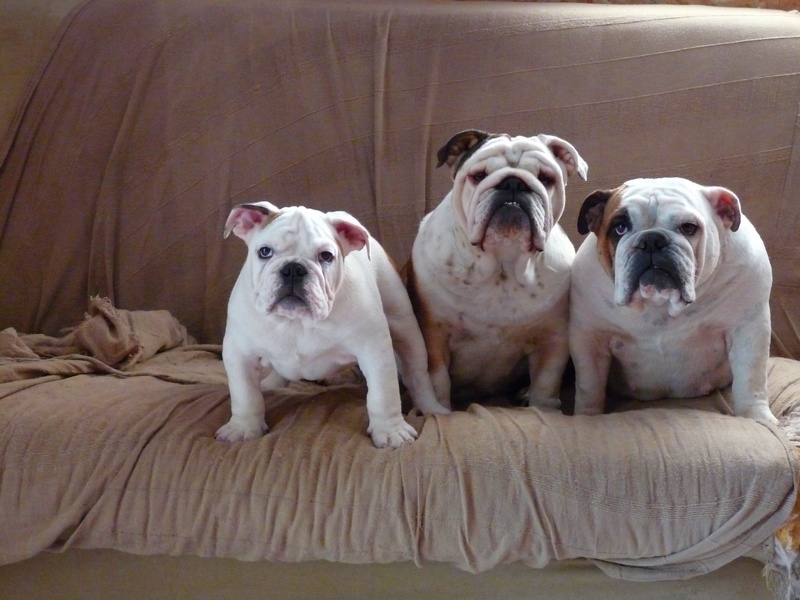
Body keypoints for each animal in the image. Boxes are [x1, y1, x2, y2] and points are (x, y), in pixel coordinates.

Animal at [216, 201, 449, 449]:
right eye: (264, 252)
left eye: (326, 256)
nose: (293, 268)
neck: (296, 321)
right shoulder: (239, 354)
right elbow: (245, 396)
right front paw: (243, 428)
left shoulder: (375, 350)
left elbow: (383, 395)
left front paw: (390, 430)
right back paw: (271, 384)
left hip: (404, 326)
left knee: (417, 374)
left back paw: (432, 408)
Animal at [407, 129, 588, 409]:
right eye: (478, 176)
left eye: (545, 179)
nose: (513, 183)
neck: (503, 266)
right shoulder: (434, 336)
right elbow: (438, 382)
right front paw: (440, 410)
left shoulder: (553, 339)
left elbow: (545, 382)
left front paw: (542, 406)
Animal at [569, 177, 777, 423]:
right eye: (620, 227)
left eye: (688, 227)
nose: (651, 239)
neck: (659, 304)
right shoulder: (590, 336)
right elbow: (589, 385)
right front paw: (587, 416)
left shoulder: (748, 327)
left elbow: (751, 378)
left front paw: (757, 417)